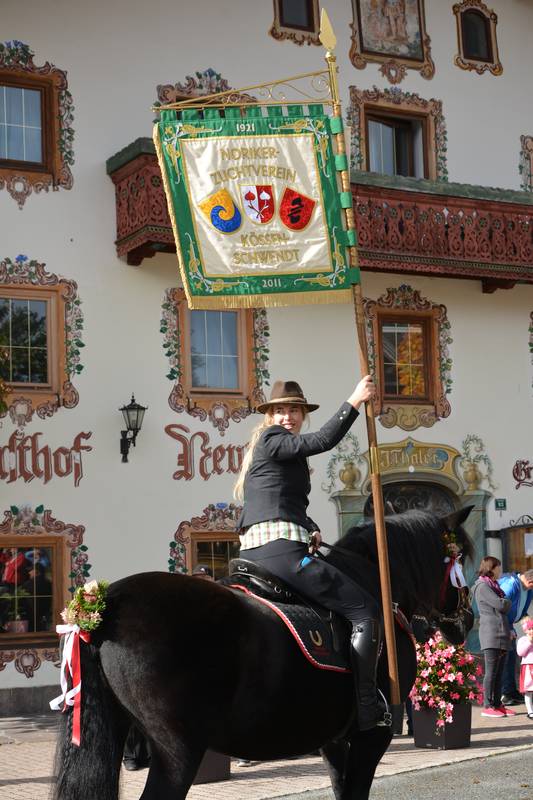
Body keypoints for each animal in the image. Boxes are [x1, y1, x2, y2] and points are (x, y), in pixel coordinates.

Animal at [53, 506, 474, 800]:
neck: (380, 583)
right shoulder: (372, 738)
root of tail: (104, 603)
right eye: (461, 559)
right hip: (177, 751)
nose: (466, 620)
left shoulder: (334, 740)